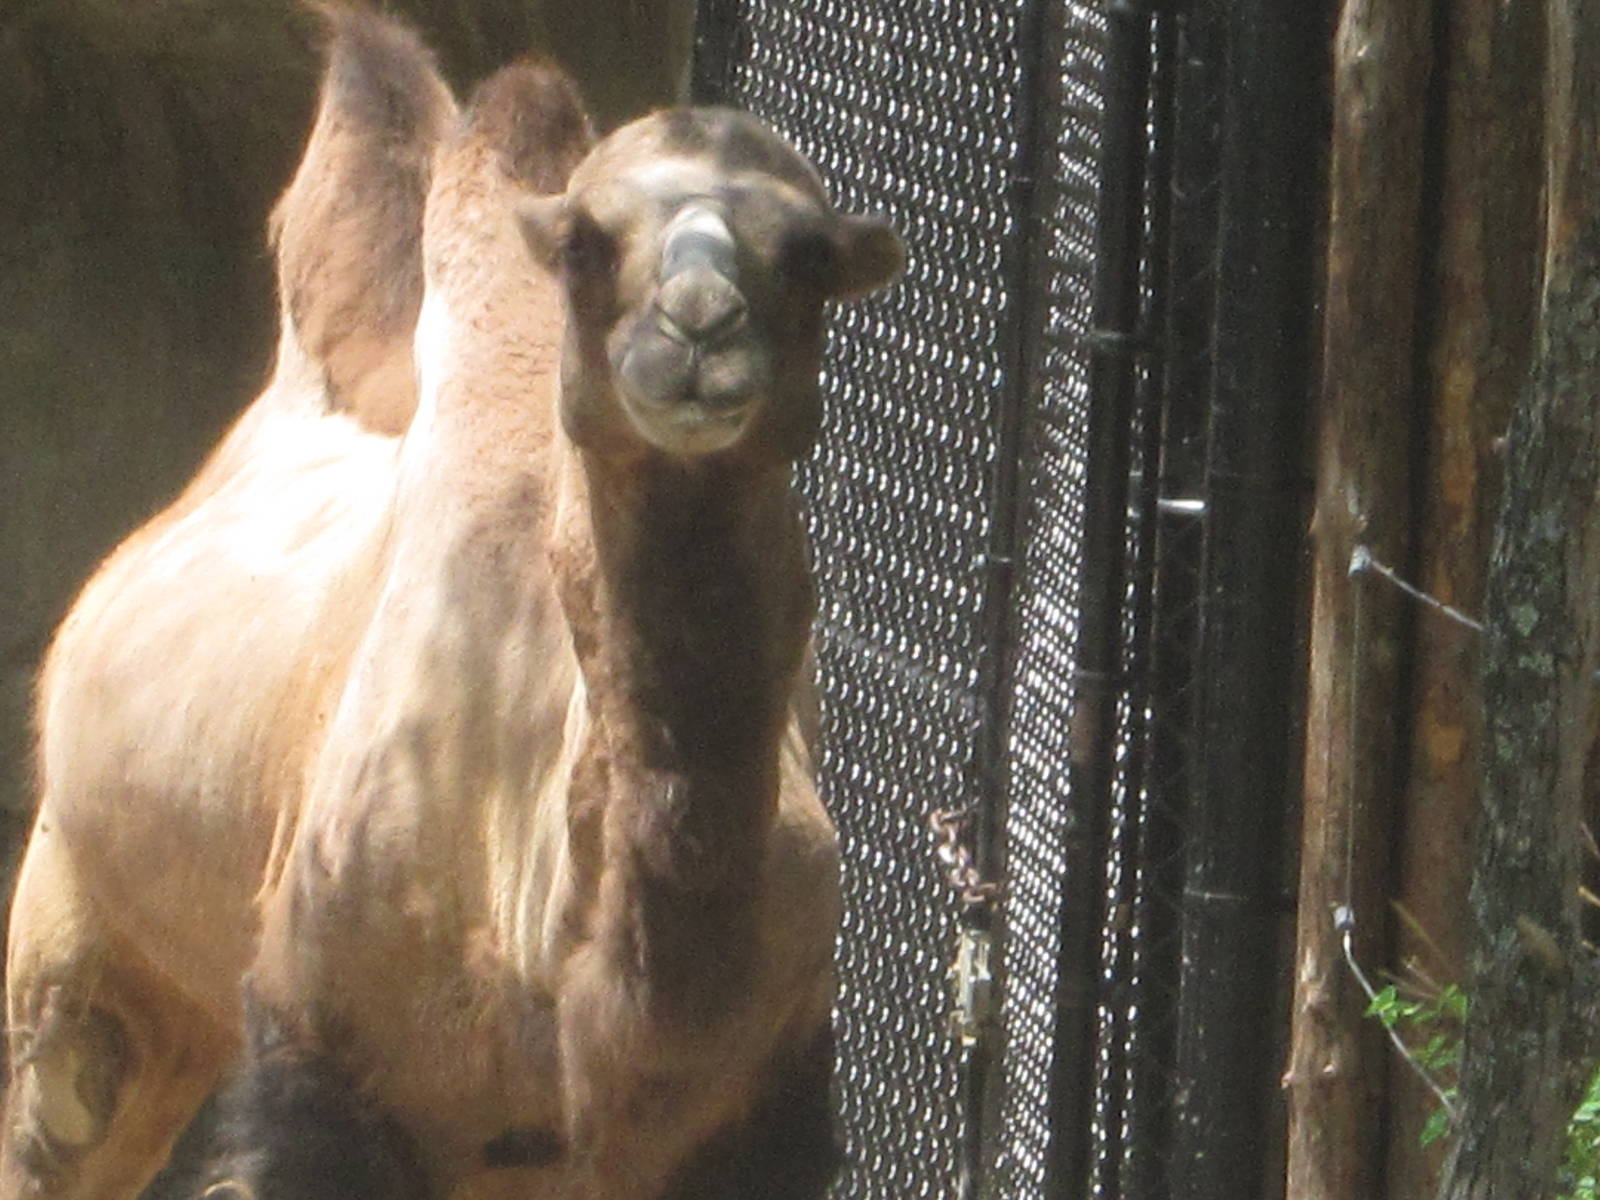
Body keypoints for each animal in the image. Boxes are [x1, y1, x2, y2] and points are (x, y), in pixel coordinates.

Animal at [0, 8, 903, 1200]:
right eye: (584, 241)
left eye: (807, 256)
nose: (701, 329)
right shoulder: (324, 1052)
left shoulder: (765, 1097)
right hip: (79, 917)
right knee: (64, 1093)